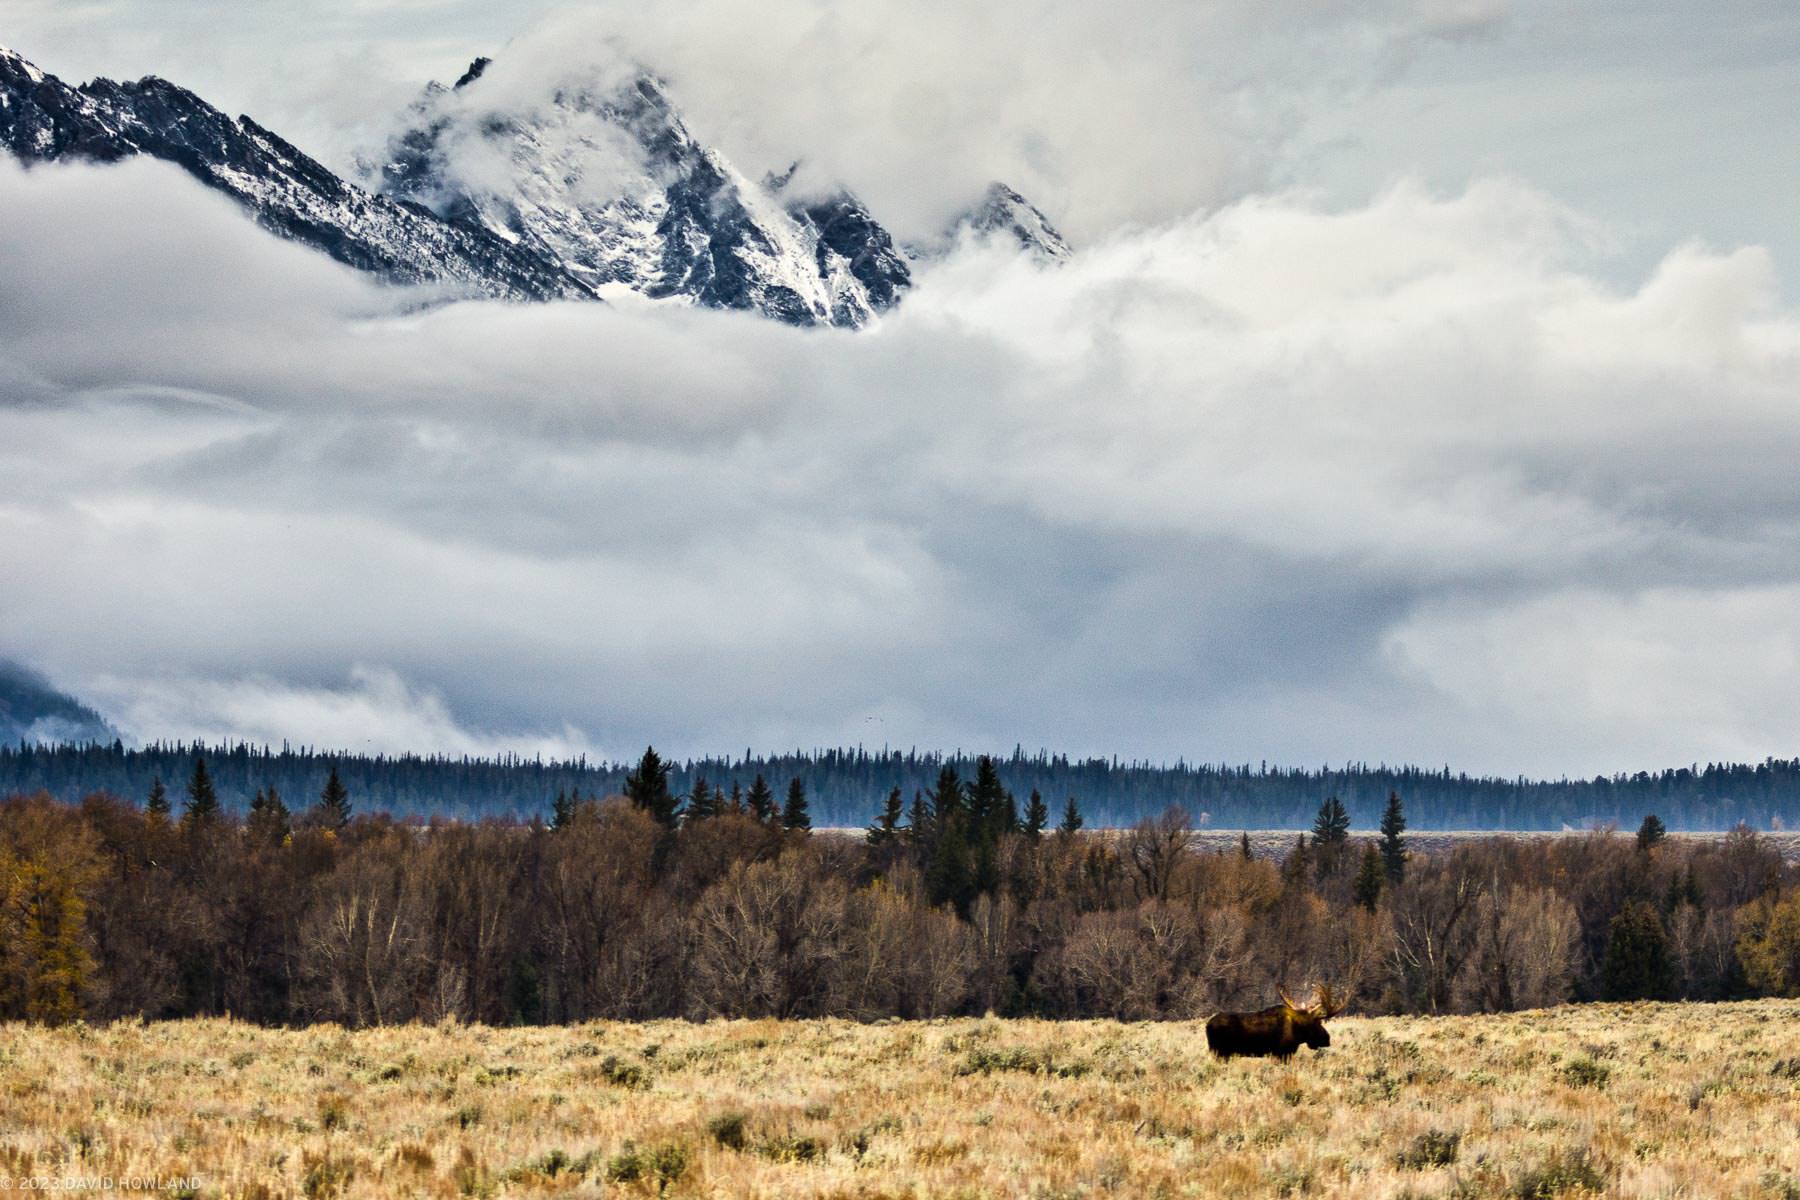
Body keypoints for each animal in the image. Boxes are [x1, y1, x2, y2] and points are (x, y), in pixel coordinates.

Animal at [1202, 985, 1346, 1057]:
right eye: (1318, 1023)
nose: (1327, 1039)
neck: (1298, 1031)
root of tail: (1207, 1025)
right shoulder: (1282, 1053)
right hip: (1219, 1052)